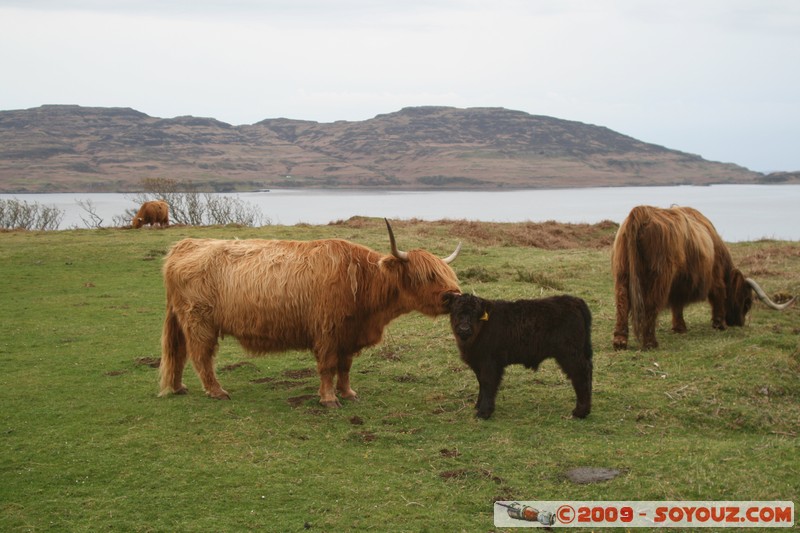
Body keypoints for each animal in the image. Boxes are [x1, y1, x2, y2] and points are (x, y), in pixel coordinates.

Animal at [159, 219, 461, 407]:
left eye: (446, 272)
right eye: (426, 276)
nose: (454, 296)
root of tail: (185, 245)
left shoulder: (348, 335)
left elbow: (345, 367)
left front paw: (348, 393)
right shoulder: (327, 332)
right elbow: (327, 367)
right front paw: (329, 399)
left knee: (179, 353)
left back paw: (178, 387)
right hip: (199, 322)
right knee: (201, 356)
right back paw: (217, 391)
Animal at [445, 293, 593, 420]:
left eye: (476, 312)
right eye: (455, 310)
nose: (464, 329)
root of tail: (574, 300)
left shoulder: (490, 363)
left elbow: (488, 383)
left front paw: (484, 413)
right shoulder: (478, 363)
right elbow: (481, 382)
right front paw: (478, 406)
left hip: (570, 354)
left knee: (581, 375)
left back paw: (580, 412)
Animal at [612, 205, 794, 350]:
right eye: (747, 302)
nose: (739, 323)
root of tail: (640, 212)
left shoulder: (679, 282)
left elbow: (677, 305)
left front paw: (680, 328)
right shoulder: (715, 277)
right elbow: (718, 296)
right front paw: (719, 324)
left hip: (623, 272)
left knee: (622, 302)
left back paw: (620, 342)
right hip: (660, 276)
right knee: (651, 304)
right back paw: (650, 343)